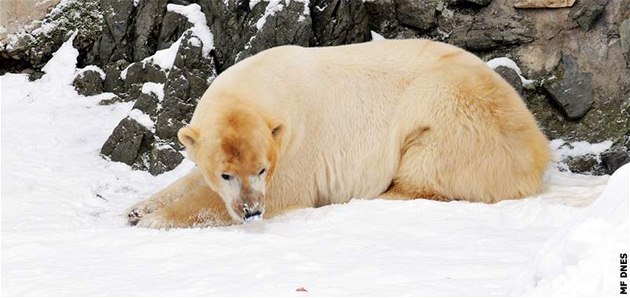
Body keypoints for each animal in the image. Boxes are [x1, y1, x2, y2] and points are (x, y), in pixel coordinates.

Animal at [128, 39, 552, 229]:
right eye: (226, 173)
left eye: (262, 169)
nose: (251, 211)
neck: (263, 85)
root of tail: (539, 145)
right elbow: (194, 179)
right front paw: (139, 208)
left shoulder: (298, 141)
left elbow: (286, 190)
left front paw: (158, 219)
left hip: (455, 110)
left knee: (428, 163)